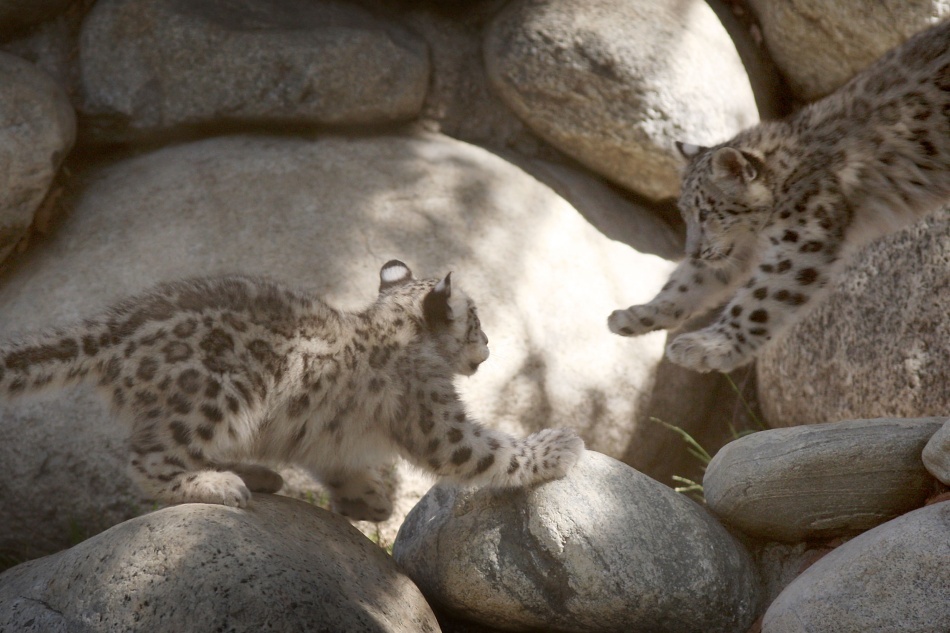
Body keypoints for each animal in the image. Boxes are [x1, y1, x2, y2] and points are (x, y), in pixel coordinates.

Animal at [0, 260, 584, 520]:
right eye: (477, 318)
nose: (489, 345)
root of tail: (113, 329)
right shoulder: (435, 418)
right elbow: (490, 451)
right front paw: (559, 447)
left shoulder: (335, 440)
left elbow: (339, 462)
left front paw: (369, 500)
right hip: (214, 397)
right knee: (148, 459)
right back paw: (221, 486)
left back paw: (258, 475)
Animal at [609, 20, 950, 373]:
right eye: (685, 212)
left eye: (706, 213)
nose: (693, 252)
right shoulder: (741, 250)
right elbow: (688, 283)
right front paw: (636, 315)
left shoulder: (801, 240)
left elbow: (758, 299)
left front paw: (705, 347)